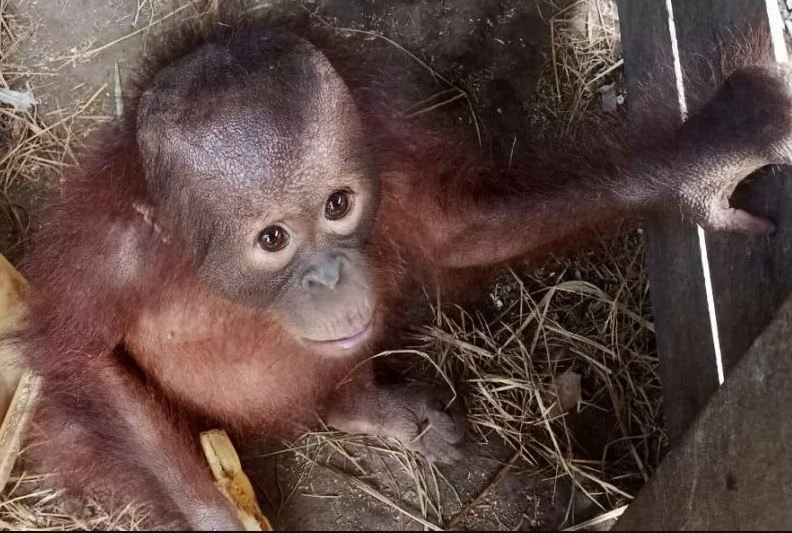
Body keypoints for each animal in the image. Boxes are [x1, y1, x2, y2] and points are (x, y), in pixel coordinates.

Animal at [12, 11, 792, 531]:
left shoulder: (389, 165)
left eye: (338, 205)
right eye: (273, 238)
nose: (327, 276)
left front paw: (702, 160)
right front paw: (219, 520)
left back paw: (374, 409)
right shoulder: (109, 257)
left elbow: (456, 233)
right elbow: (86, 363)